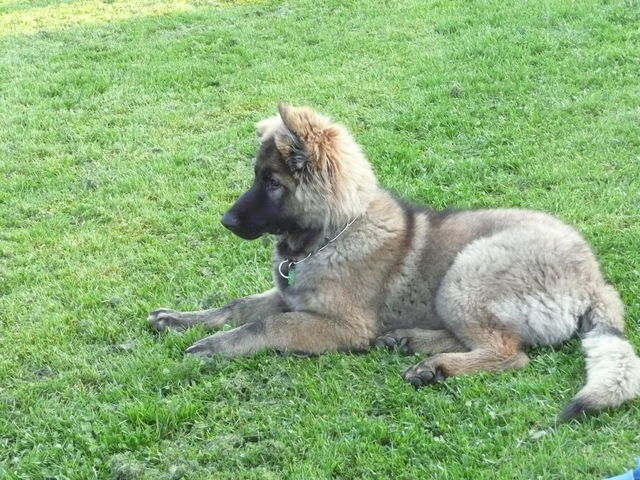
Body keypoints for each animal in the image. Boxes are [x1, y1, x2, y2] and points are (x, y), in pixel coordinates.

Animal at [149, 103, 640, 419]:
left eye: (272, 183)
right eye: (257, 177)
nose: (226, 221)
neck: (335, 231)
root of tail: (594, 280)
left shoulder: (343, 326)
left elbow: (264, 325)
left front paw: (212, 347)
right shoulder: (289, 295)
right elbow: (237, 307)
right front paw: (179, 319)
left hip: (467, 271)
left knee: (510, 354)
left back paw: (434, 366)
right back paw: (411, 341)